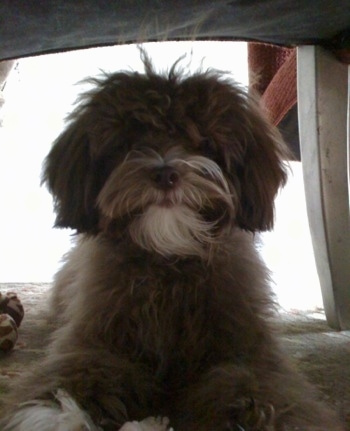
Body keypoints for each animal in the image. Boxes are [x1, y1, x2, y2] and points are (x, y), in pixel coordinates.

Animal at [0, 52, 344, 430]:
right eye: (130, 143)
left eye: (203, 143)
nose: (165, 173)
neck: (170, 260)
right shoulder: (97, 341)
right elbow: (77, 374)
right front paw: (60, 412)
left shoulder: (246, 348)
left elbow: (258, 384)